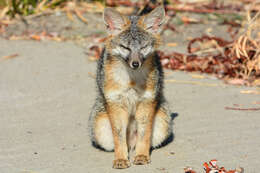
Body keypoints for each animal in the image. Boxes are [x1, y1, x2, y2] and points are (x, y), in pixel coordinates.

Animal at [88, 5, 172, 169]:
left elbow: (144, 135)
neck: (132, 81)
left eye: (143, 47)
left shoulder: (147, 102)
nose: (135, 63)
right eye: (125, 47)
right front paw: (120, 158)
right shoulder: (115, 103)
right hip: (101, 128)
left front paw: (141, 155)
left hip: (162, 122)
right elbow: (119, 137)